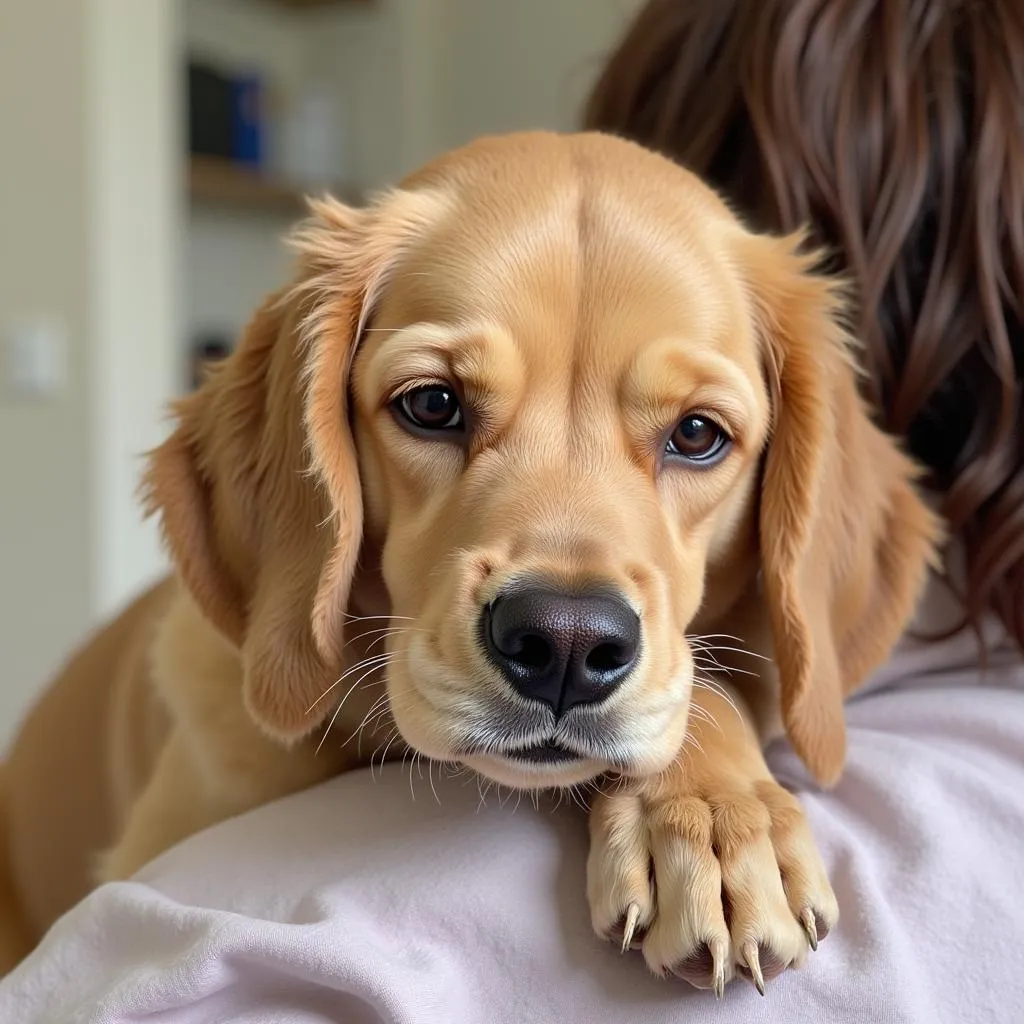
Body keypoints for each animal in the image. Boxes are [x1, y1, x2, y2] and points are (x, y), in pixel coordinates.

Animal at [0, 132, 942, 987]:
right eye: (432, 404)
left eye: (698, 434)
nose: (564, 643)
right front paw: (710, 819)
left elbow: (708, 687)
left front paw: (713, 816)